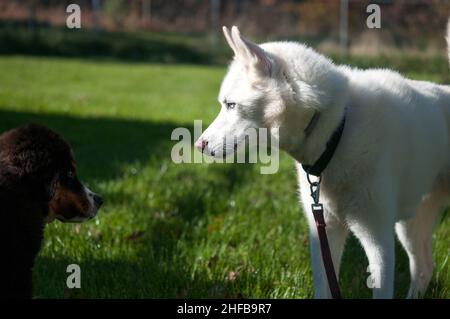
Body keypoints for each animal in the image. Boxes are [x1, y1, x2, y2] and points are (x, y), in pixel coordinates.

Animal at [196, 25, 450, 300]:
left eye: (231, 105)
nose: (199, 145)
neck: (338, 130)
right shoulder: (324, 230)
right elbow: (324, 285)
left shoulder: (377, 235)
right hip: (410, 223)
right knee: (425, 266)